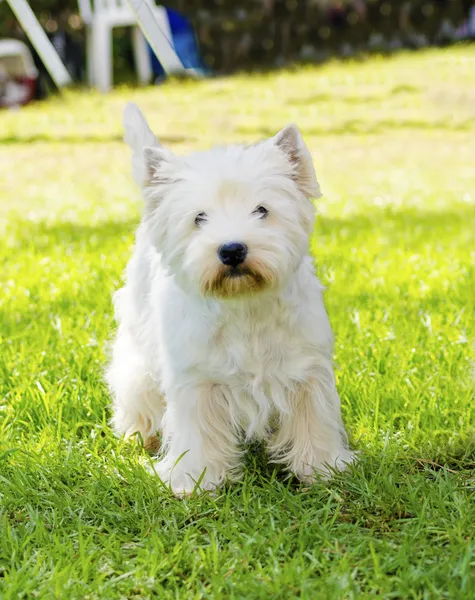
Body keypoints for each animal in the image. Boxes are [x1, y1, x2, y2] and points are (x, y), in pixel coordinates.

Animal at [107, 104, 354, 496]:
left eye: (262, 210)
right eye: (199, 218)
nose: (232, 249)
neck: (245, 306)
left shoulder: (306, 372)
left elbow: (313, 420)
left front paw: (321, 469)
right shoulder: (196, 380)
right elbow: (199, 433)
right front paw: (196, 480)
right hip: (138, 345)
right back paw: (143, 435)